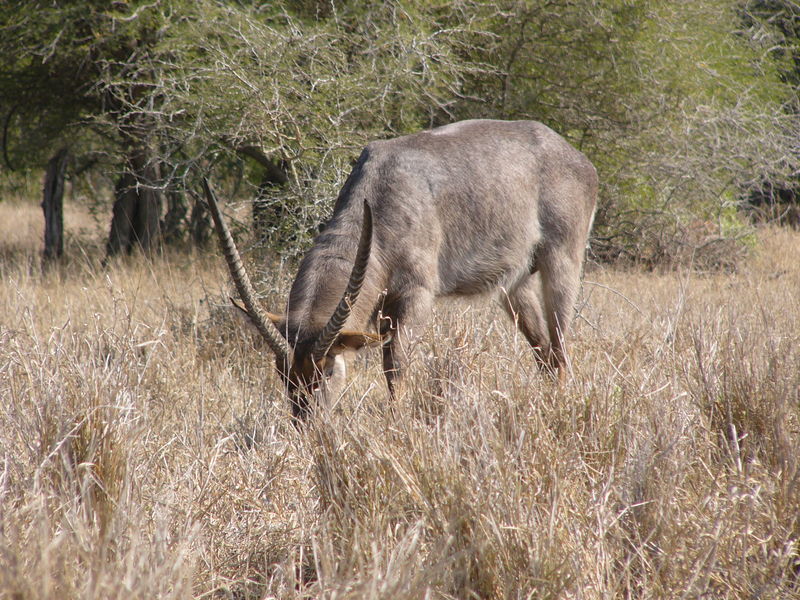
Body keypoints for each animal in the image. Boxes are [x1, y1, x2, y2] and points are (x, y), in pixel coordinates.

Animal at [203, 117, 596, 418]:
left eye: (327, 371)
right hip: (514, 285)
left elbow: (396, 365)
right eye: (283, 373)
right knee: (544, 353)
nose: (306, 424)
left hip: (562, 262)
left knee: (561, 349)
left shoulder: (415, 293)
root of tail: (576, 156)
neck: (380, 195)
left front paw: (397, 422)